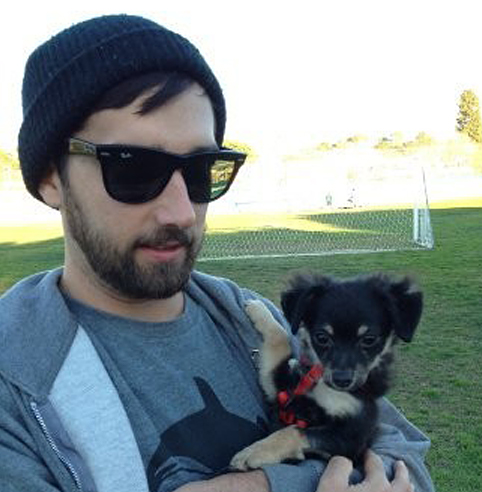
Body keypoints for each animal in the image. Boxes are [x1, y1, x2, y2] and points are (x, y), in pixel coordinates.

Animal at [230, 272, 422, 468]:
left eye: (369, 339)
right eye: (322, 337)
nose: (342, 380)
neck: (321, 385)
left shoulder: (351, 439)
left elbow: (294, 430)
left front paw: (254, 452)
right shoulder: (279, 387)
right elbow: (281, 339)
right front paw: (258, 308)